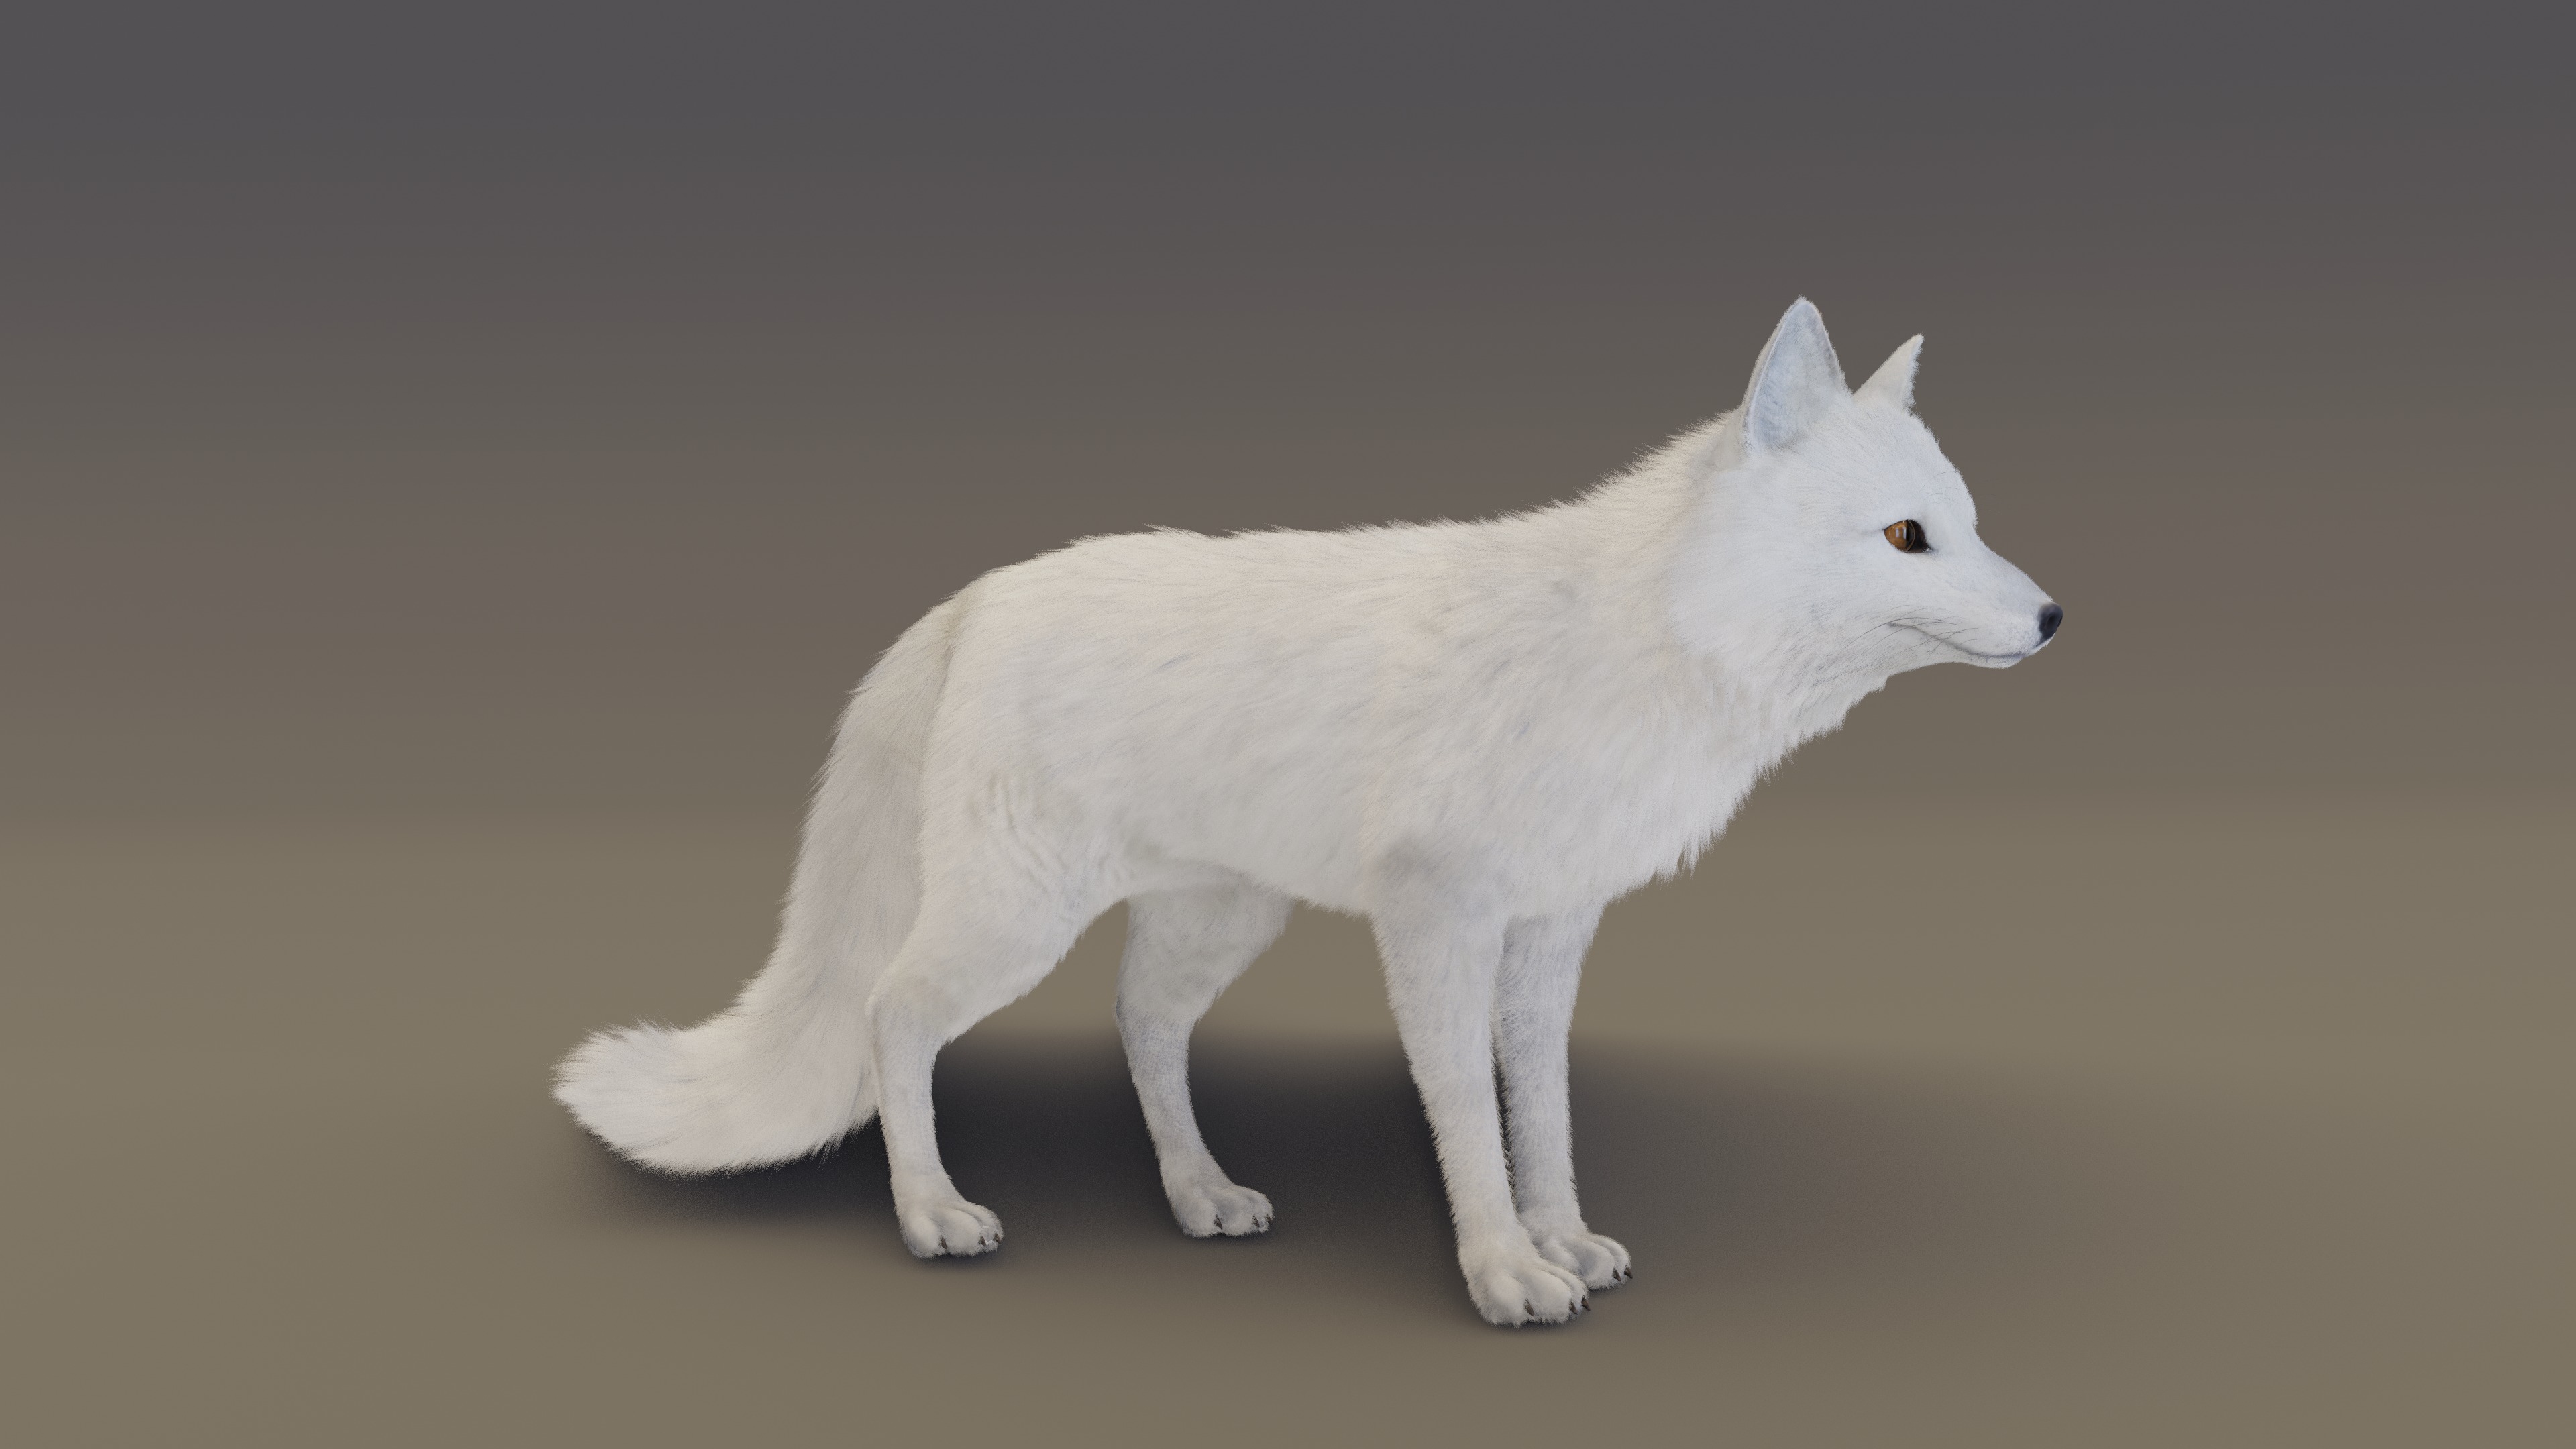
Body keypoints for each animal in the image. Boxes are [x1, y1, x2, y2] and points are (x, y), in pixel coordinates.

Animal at [556, 299, 2061, 1326]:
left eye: (1970, 522)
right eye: (1908, 537)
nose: (2055, 618)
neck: (1646, 646)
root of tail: (974, 596)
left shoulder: (1552, 928)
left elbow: (1544, 1111)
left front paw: (1564, 1240)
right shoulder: (1436, 920)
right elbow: (1465, 1115)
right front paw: (1504, 1271)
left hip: (1221, 920)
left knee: (1139, 1024)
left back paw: (1197, 1195)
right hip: (1013, 926)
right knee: (893, 1018)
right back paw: (932, 1212)